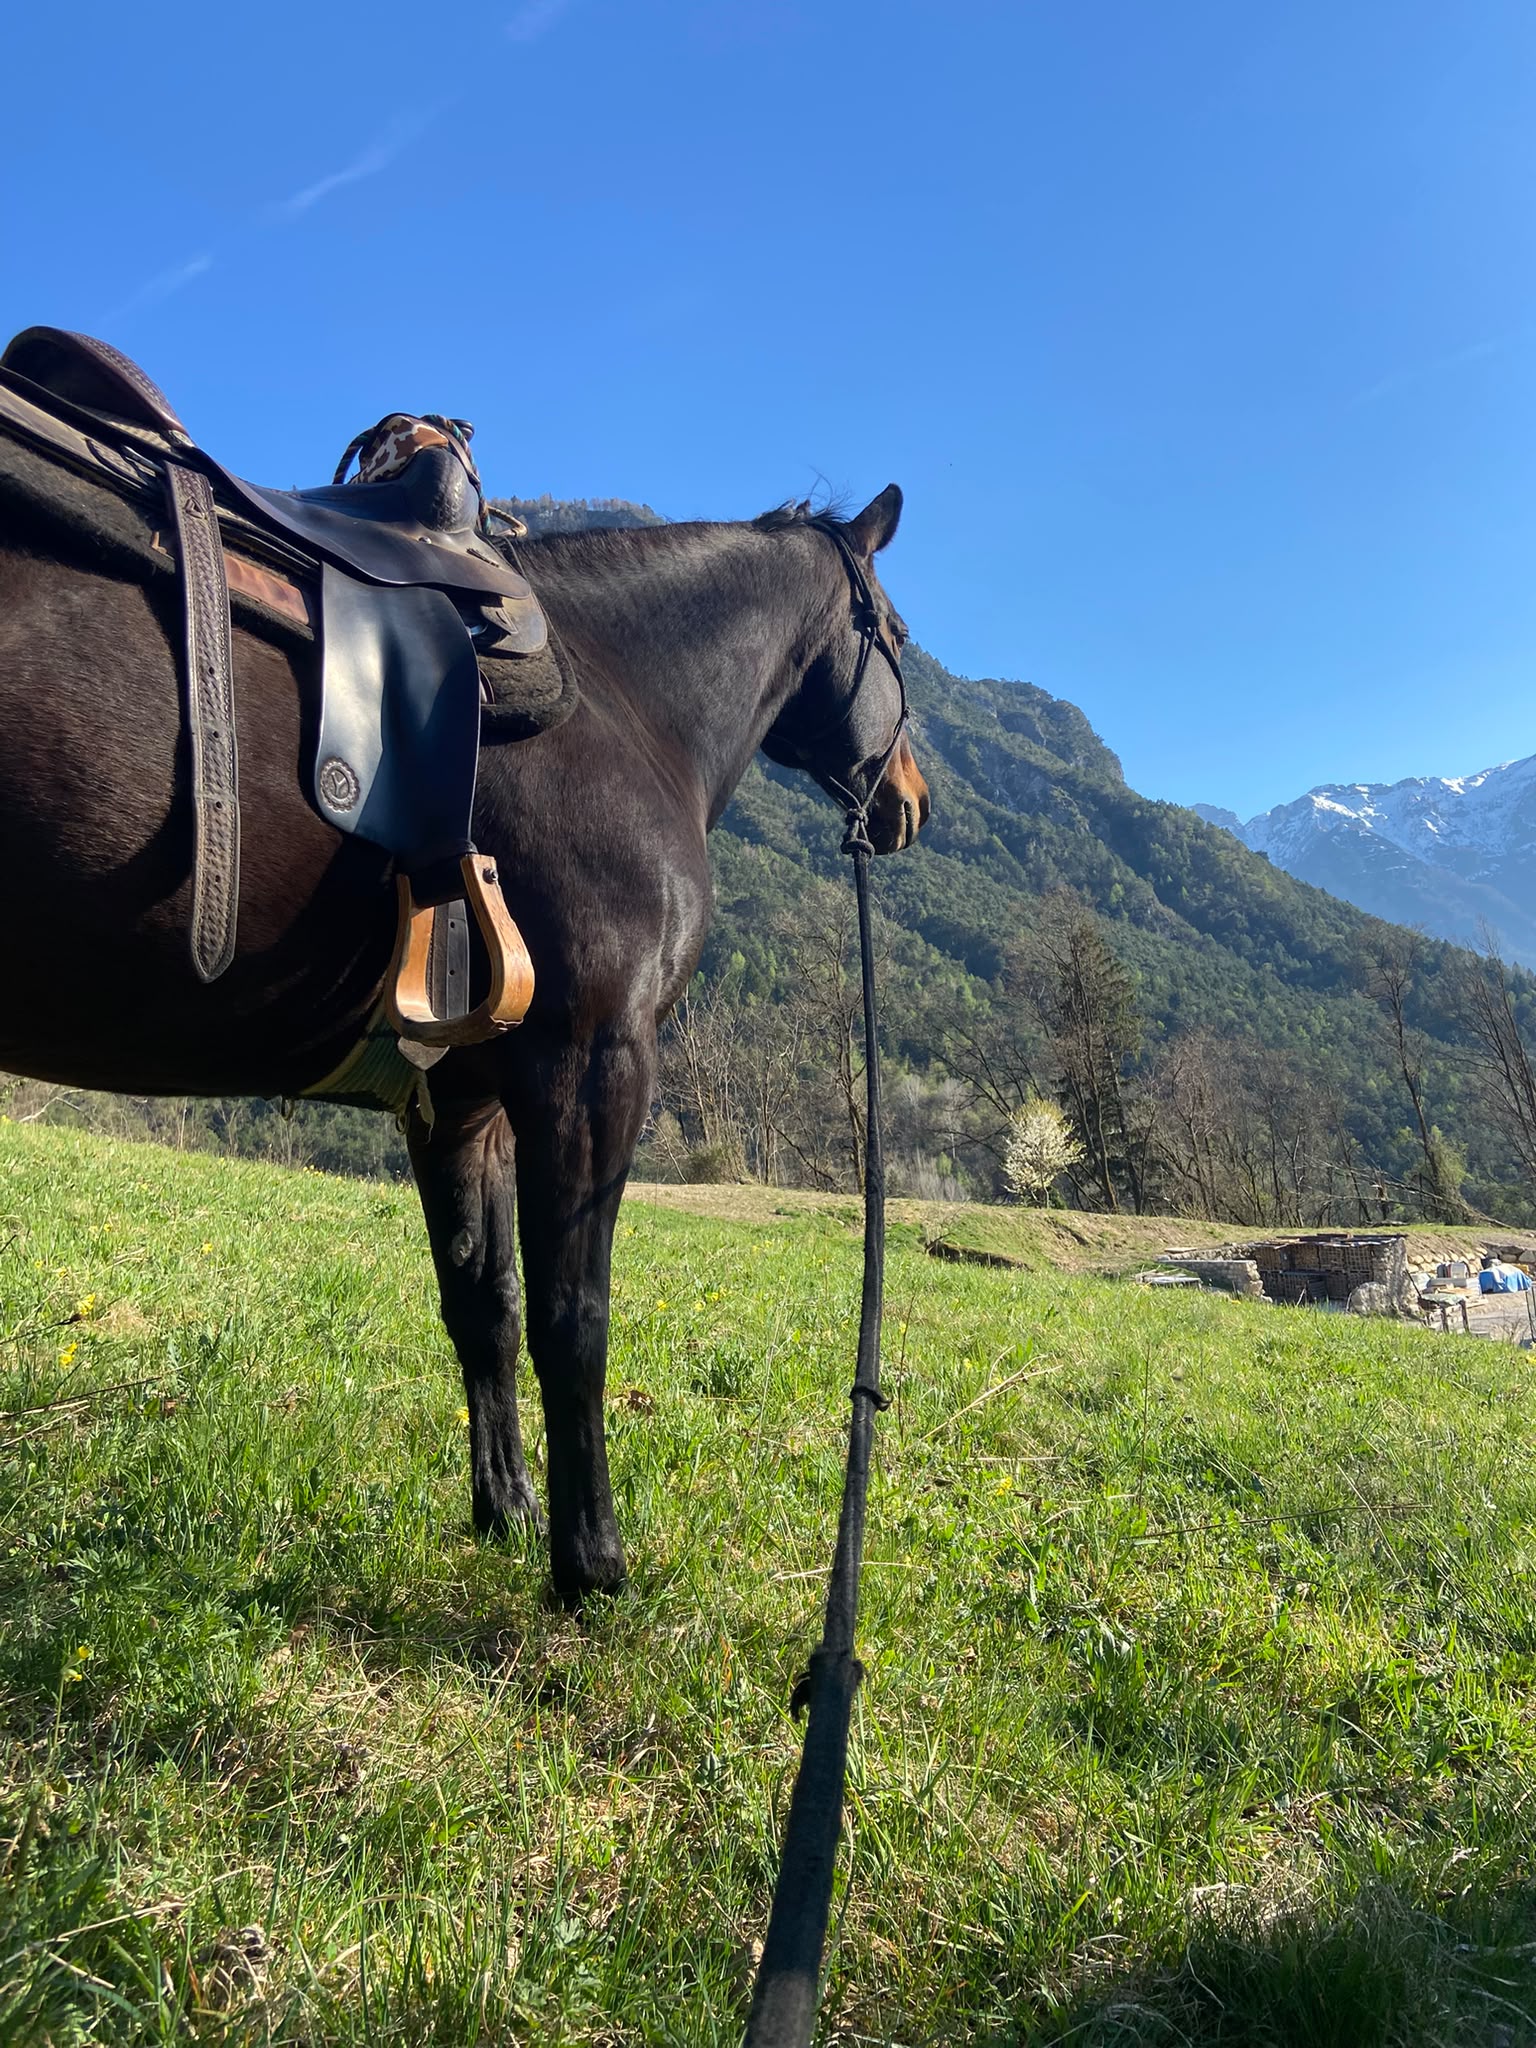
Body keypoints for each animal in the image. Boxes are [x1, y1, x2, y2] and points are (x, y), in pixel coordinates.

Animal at [0, 483, 929, 1600]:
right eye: (900, 636)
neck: (621, 703)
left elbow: (484, 1307)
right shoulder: (591, 1064)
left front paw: (507, 1508)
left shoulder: (462, 1103)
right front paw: (590, 1562)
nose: (913, 803)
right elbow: (574, 1316)